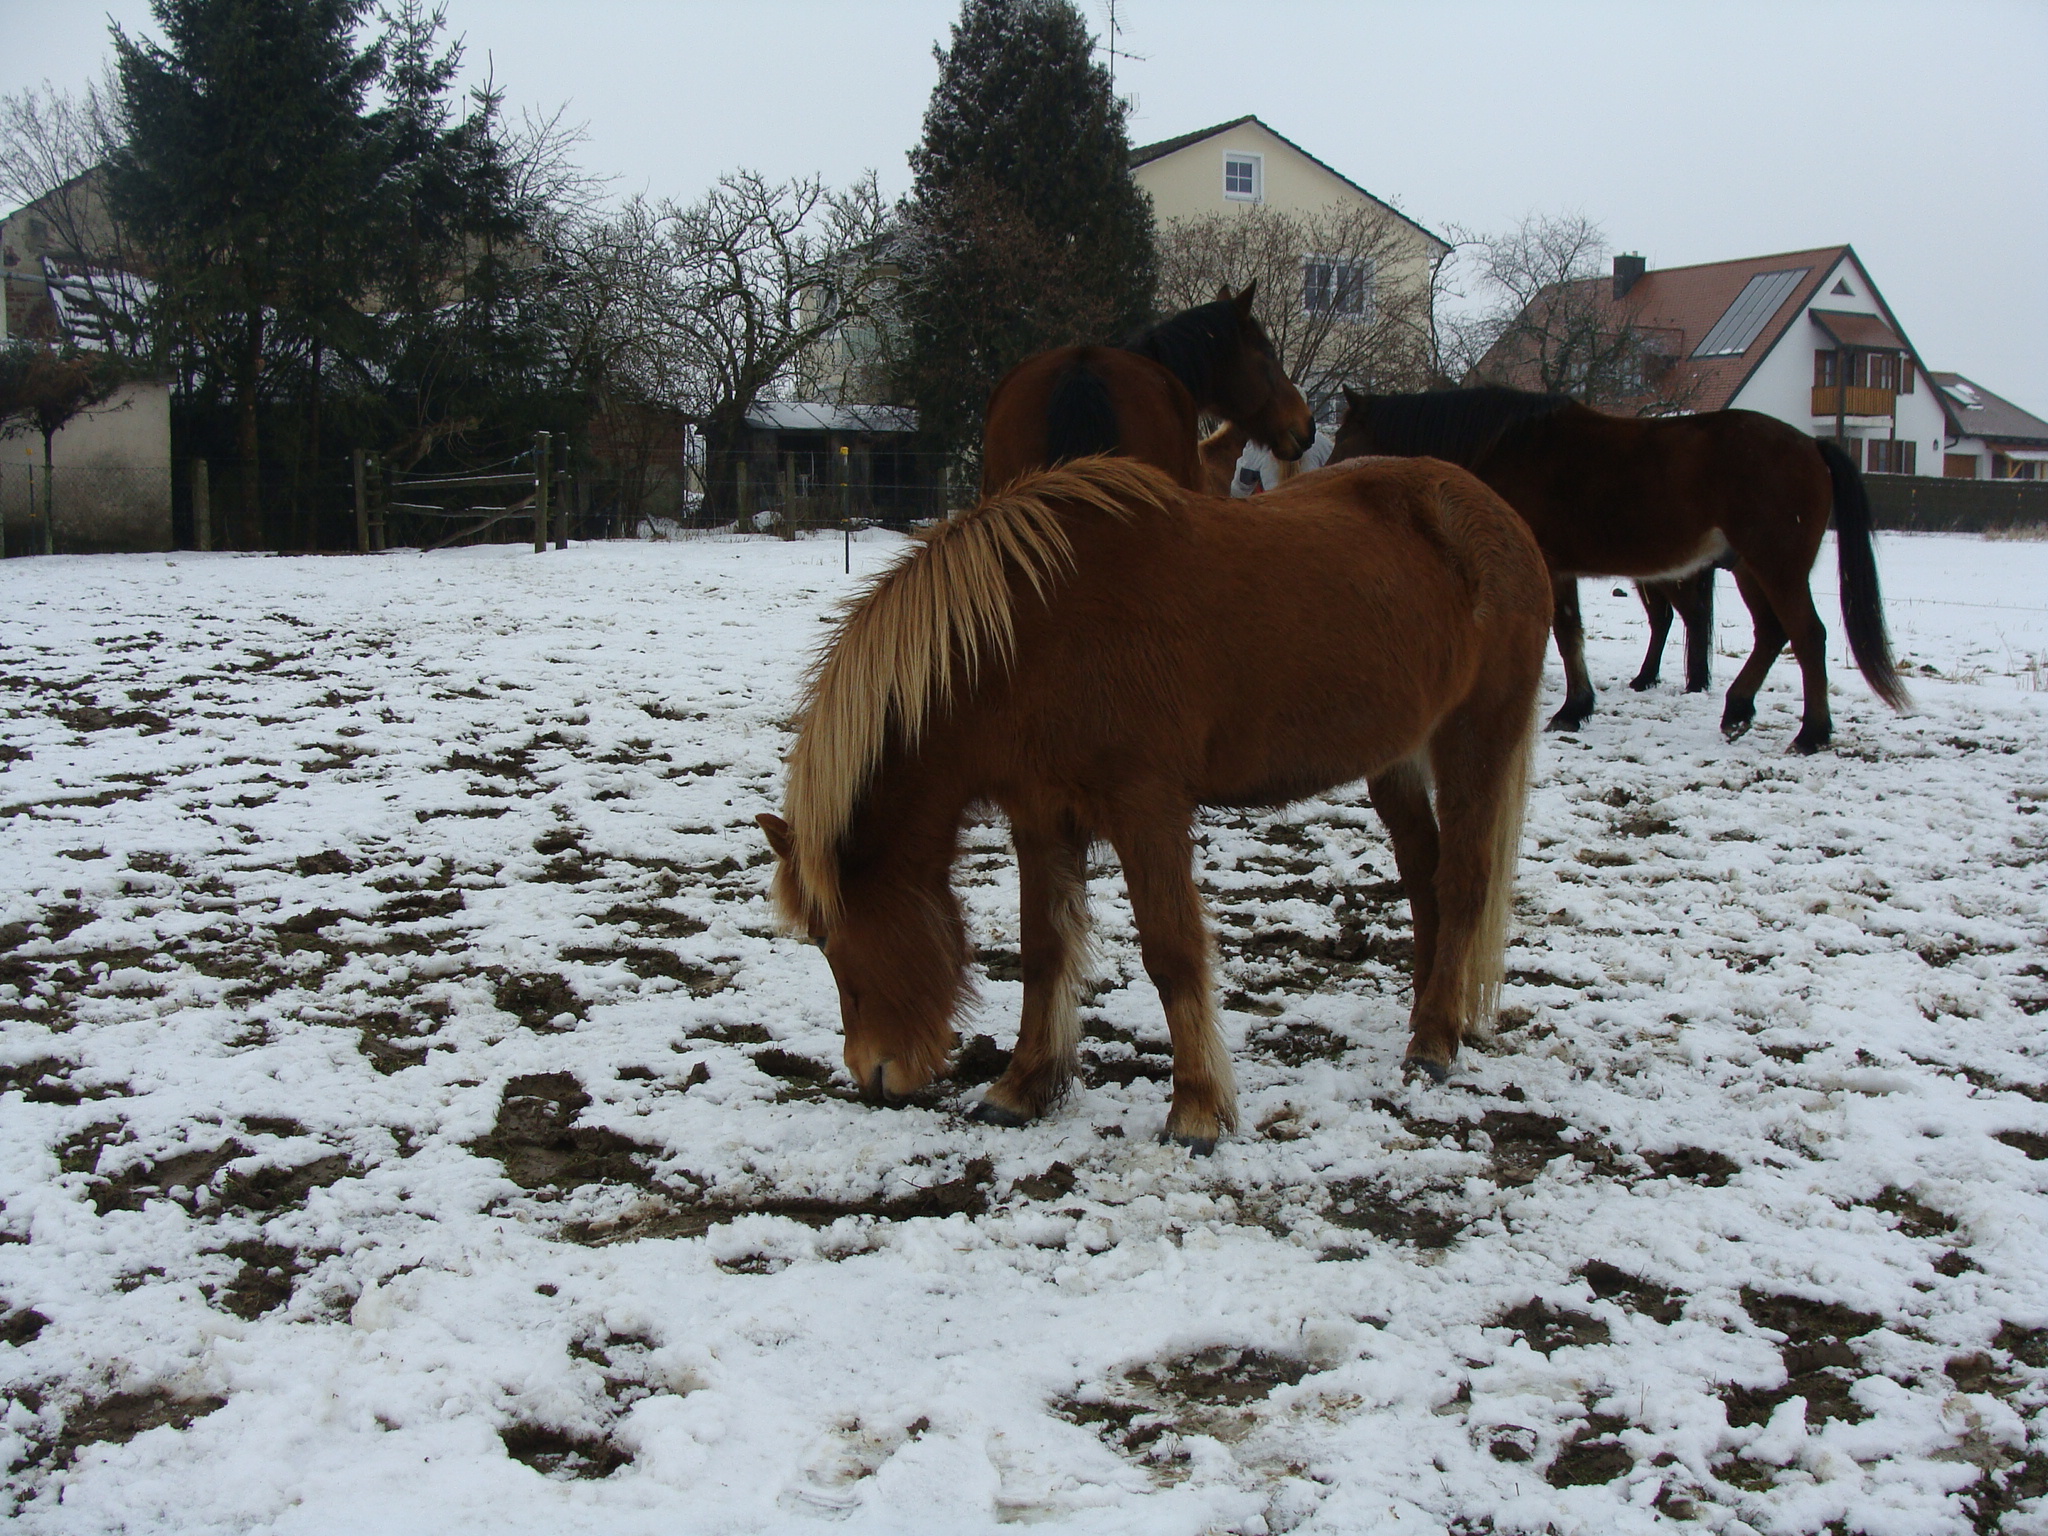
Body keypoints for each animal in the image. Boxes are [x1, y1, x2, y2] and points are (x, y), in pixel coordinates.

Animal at [756, 454, 1552, 1151]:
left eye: (825, 938)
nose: (871, 1075)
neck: (1032, 635)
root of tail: (1499, 516)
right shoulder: (1040, 816)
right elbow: (1043, 948)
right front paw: (1023, 1087)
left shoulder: (1146, 811)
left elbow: (1171, 952)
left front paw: (1197, 1110)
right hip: (1397, 760)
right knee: (1425, 879)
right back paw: (1432, 1018)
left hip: (1476, 739)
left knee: (1465, 880)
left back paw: (1436, 1040)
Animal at [1333, 387, 1910, 752]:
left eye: (1343, 439)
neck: (1506, 445)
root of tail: (1812, 443)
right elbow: (1568, 633)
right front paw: (1578, 706)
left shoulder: (1547, 566)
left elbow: (1565, 632)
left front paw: (1571, 708)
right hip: (1750, 568)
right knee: (1772, 634)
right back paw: (1738, 711)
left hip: (1777, 565)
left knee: (1807, 635)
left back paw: (1811, 734)